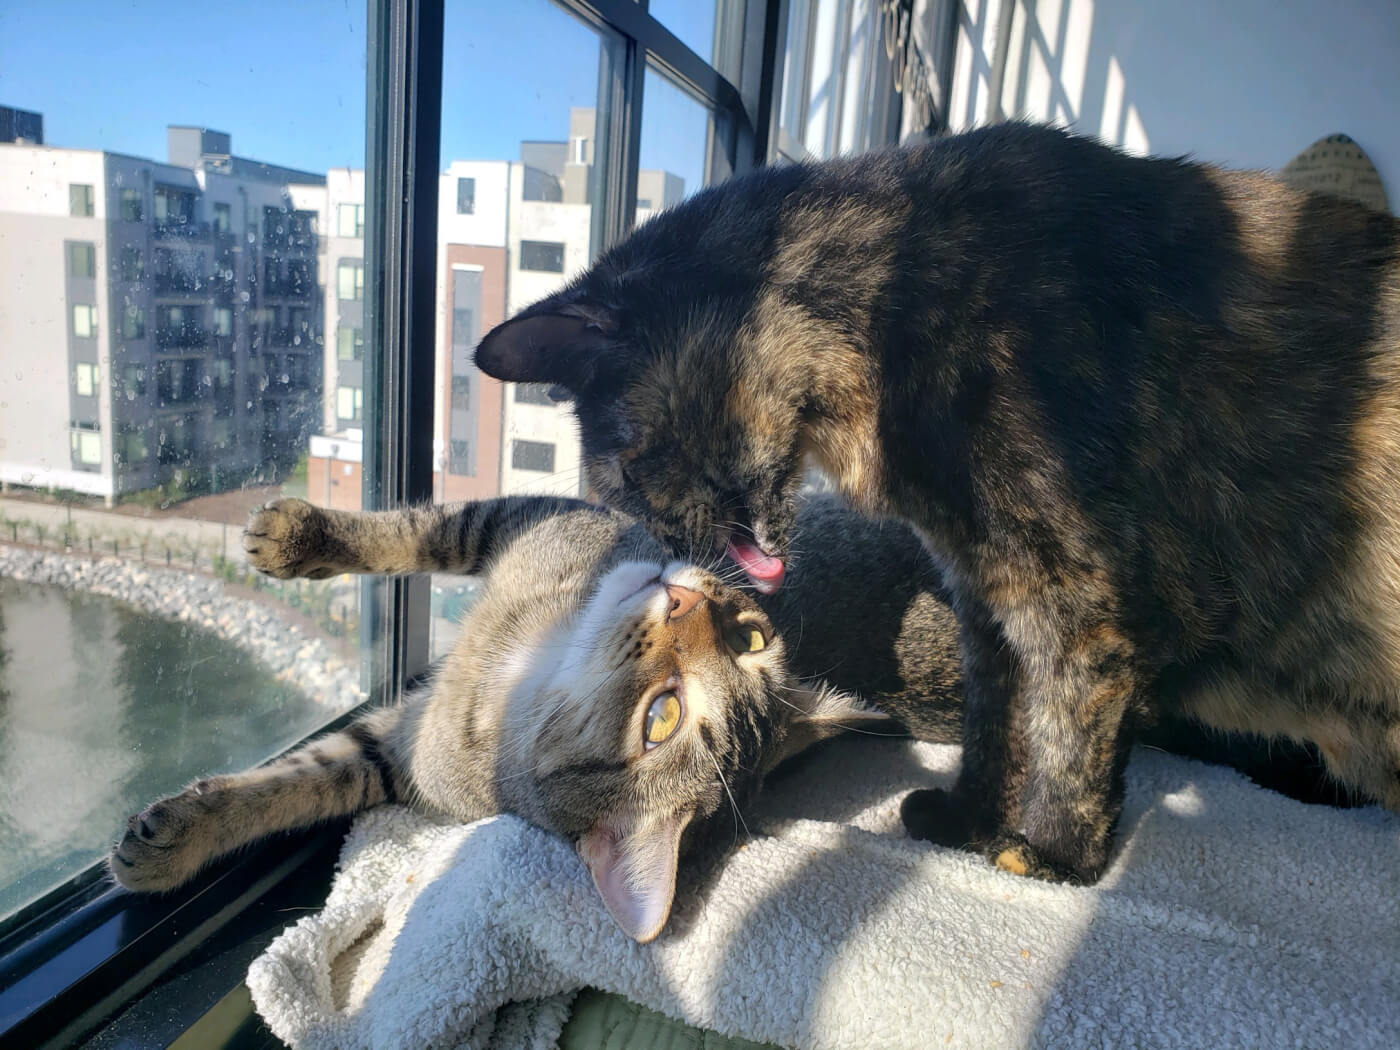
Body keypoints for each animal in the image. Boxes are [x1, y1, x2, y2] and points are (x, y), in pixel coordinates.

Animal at [112, 495, 963, 946]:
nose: (687, 600)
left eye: (662, 717)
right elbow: (426, 528)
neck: (523, 665)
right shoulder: (539, 517)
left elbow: (311, 780)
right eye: (751, 640)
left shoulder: (404, 753)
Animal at [476, 119, 1400, 884]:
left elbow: (1068, 735)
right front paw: (966, 821)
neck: (891, 303)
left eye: (628, 473)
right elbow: (1001, 721)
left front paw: (1052, 861)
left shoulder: (1076, 600)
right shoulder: (984, 592)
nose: (674, 555)